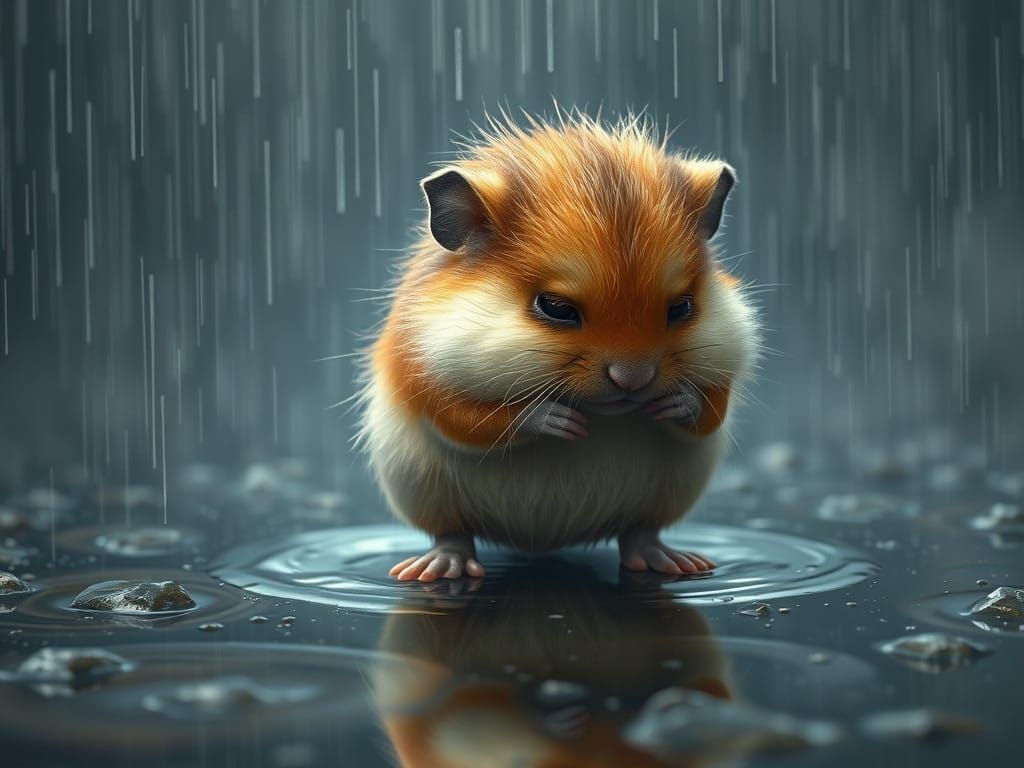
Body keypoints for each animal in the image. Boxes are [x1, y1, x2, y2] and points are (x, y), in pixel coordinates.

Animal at [359, 112, 760, 581]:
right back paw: (437, 566)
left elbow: (711, 409)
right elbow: (466, 418)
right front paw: (558, 420)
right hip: (424, 493)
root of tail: (542, 546)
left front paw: (675, 403)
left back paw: (675, 562)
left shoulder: (727, 358)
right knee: (452, 532)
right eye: (556, 308)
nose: (633, 381)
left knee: (639, 533)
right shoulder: (422, 370)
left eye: (681, 308)